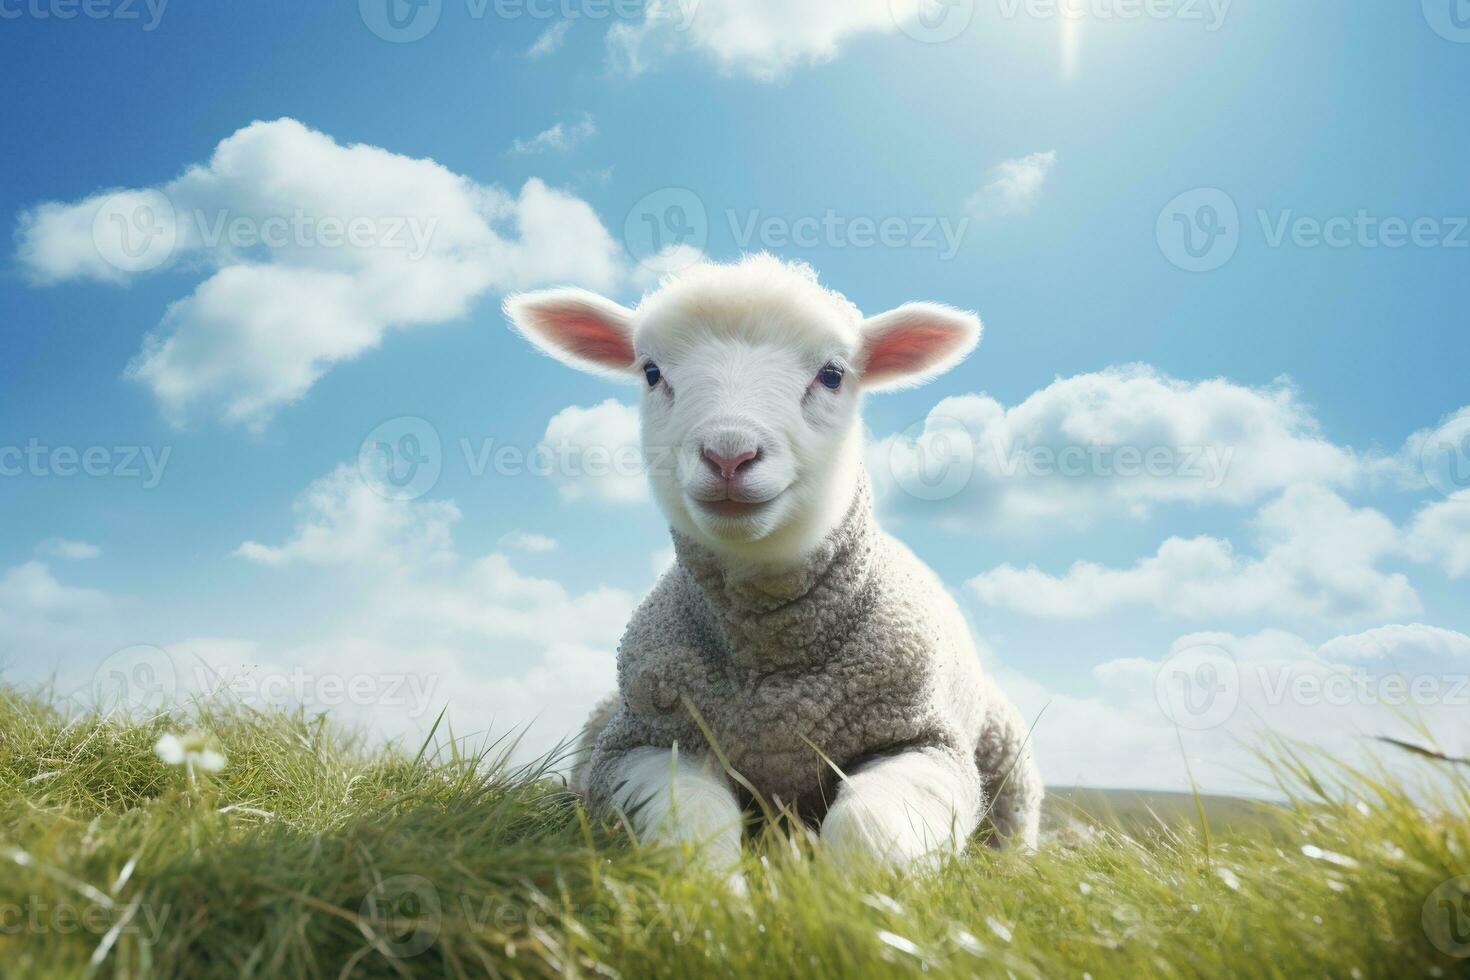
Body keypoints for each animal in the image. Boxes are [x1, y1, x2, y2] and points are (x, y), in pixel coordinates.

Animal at [508, 255, 1046, 875]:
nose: (728, 455)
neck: (775, 684)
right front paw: (710, 888)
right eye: (651, 372)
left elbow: (867, 825)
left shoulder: (927, 744)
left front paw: (850, 893)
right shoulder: (641, 742)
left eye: (833, 374)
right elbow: (691, 817)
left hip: (1005, 757)